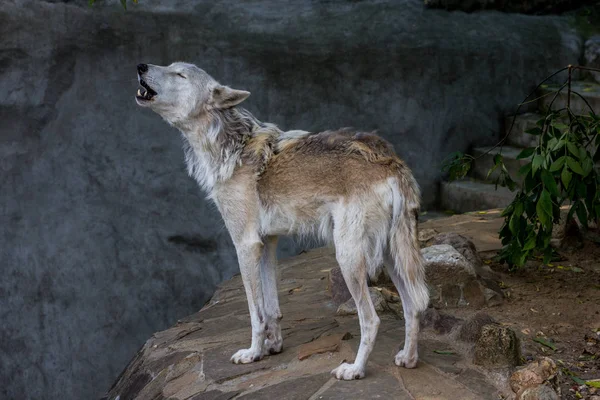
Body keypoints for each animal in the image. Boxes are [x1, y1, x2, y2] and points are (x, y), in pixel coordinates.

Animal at [134, 61, 428, 380]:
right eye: (169, 67)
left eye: (180, 75)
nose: (141, 65)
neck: (229, 147)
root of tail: (390, 161)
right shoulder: (267, 242)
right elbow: (272, 307)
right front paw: (273, 346)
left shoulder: (245, 244)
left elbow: (256, 312)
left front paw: (253, 353)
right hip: (392, 257)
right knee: (413, 307)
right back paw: (408, 359)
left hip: (348, 257)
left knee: (372, 320)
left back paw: (355, 370)